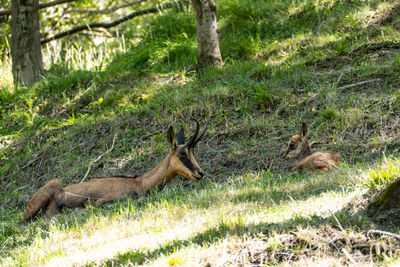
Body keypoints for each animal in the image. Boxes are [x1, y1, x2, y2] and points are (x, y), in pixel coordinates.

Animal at [23, 120, 208, 223]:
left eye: (193, 152)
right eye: (182, 154)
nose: (200, 173)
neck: (139, 183)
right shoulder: (102, 201)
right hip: (52, 187)